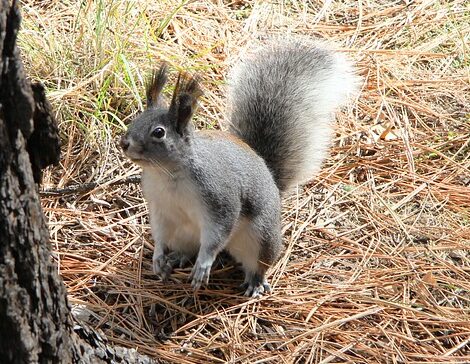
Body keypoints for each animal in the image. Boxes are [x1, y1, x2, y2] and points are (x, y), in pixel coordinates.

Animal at [119, 38, 358, 298]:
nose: (124, 143)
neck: (167, 174)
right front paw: (158, 257)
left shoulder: (220, 199)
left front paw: (203, 265)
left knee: (256, 262)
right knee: (188, 248)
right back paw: (176, 257)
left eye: (159, 133)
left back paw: (254, 281)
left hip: (260, 237)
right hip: (182, 233)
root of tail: (271, 178)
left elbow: (217, 235)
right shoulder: (160, 207)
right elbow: (159, 232)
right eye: (135, 120)